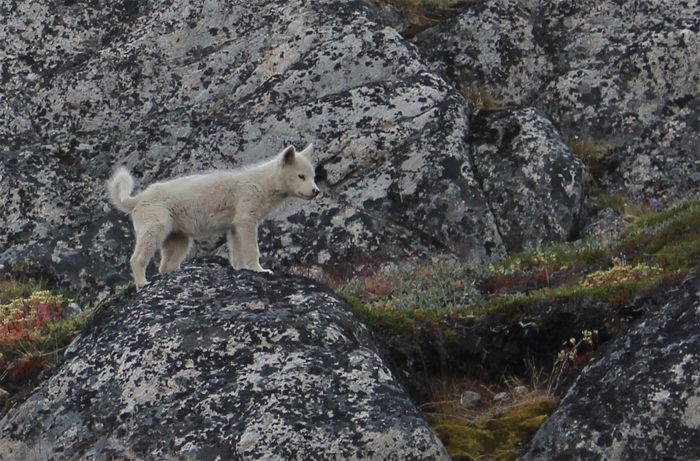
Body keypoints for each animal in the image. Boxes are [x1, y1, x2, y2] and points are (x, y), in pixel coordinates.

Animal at [108, 143, 320, 289]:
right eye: (301, 176)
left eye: (313, 176)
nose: (316, 191)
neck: (262, 183)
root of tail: (137, 199)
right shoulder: (246, 218)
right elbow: (252, 249)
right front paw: (259, 270)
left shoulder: (235, 226)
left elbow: (237, 252)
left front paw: (241, 269)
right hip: (155, 227)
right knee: (137, 258)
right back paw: (142, 283)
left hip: (179, 238)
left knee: (166, 266)